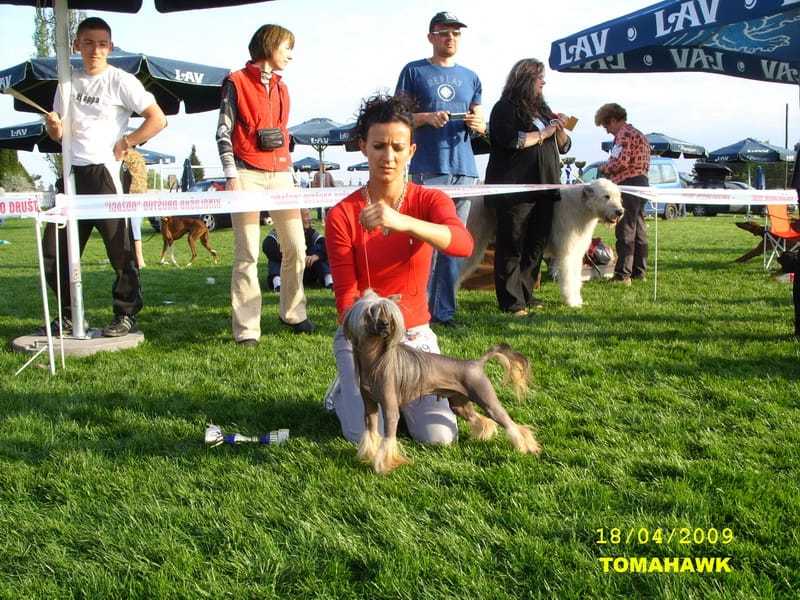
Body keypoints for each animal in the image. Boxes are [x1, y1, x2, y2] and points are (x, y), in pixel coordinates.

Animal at [343, 290, 541, 474]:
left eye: (389, 314)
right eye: (372, 312)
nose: (385, 325)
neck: (374, 361)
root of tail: (476, 363)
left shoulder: (391, 410)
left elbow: (388, 439)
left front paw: (383, 466)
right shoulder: (370, 407)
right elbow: (370, 431)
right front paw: (368, 455)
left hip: (487, 401)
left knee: (512, 425)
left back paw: (527, 447)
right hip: (459, 405)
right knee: (480, 419)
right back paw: (486, 434)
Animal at [460, 179, 624, 307]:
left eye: (619, 196)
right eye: (606, 196)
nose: (620, 212)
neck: (582, 206)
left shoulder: (576, 252)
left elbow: (575, 276)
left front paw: (577, 300)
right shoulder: (567, 253)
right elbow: (569, 276)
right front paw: (572, 302)